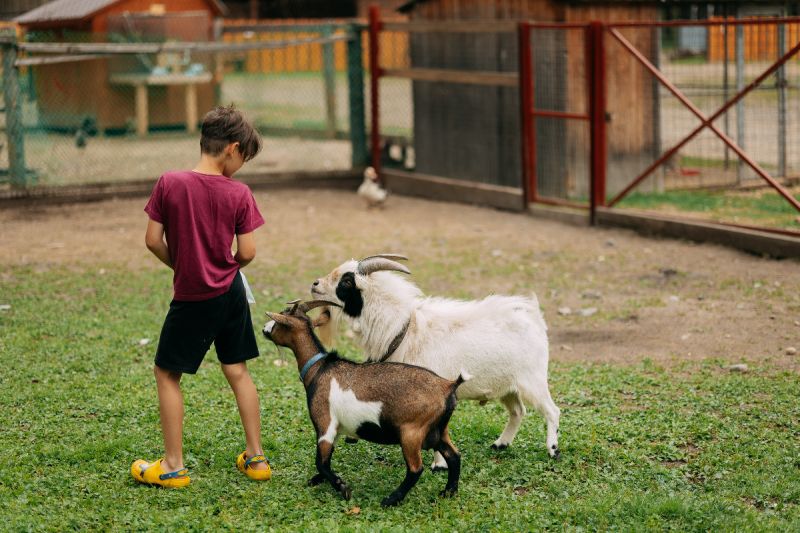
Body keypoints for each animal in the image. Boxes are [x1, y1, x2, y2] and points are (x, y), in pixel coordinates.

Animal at [262, 302, 466, 504]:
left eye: (279, 320)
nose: (264, 329)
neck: (319, 369)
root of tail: (447, 386)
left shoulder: (325, 423)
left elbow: (321, 462)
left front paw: (342, 487)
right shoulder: (336, 428)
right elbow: (326, 458)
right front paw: (319, 480)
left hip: (412, 432)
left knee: (416, 468)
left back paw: (391, 499)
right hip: (438, 430)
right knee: (454, 456)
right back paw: (449, 492)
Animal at [310, 252, 560, 466]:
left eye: (346, 282)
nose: (315, 285)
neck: (404, 328)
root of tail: (534, 317)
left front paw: (438, 465)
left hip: (532, 380)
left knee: (552, 410)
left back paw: (553, 449)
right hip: (508, 386)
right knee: (518, 411)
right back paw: (501, 444)